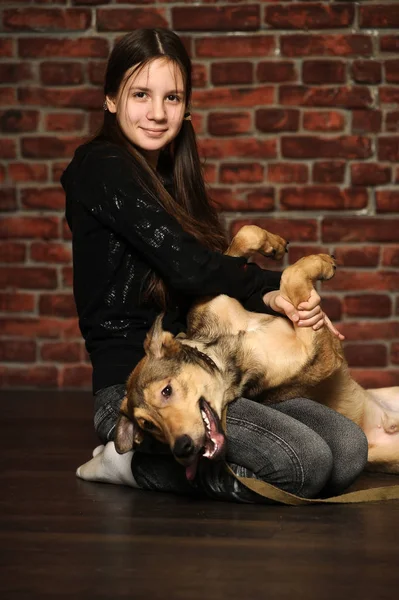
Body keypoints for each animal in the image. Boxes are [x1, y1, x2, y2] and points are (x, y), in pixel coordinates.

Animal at [115, 224, 399, 478]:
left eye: (166, 391)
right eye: (148, 426)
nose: (182, 449)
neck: (221, 348)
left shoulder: (217, 290)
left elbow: (243, 239)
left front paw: (277, 246)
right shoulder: (319, 352)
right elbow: (289, 277)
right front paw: (319, 264)